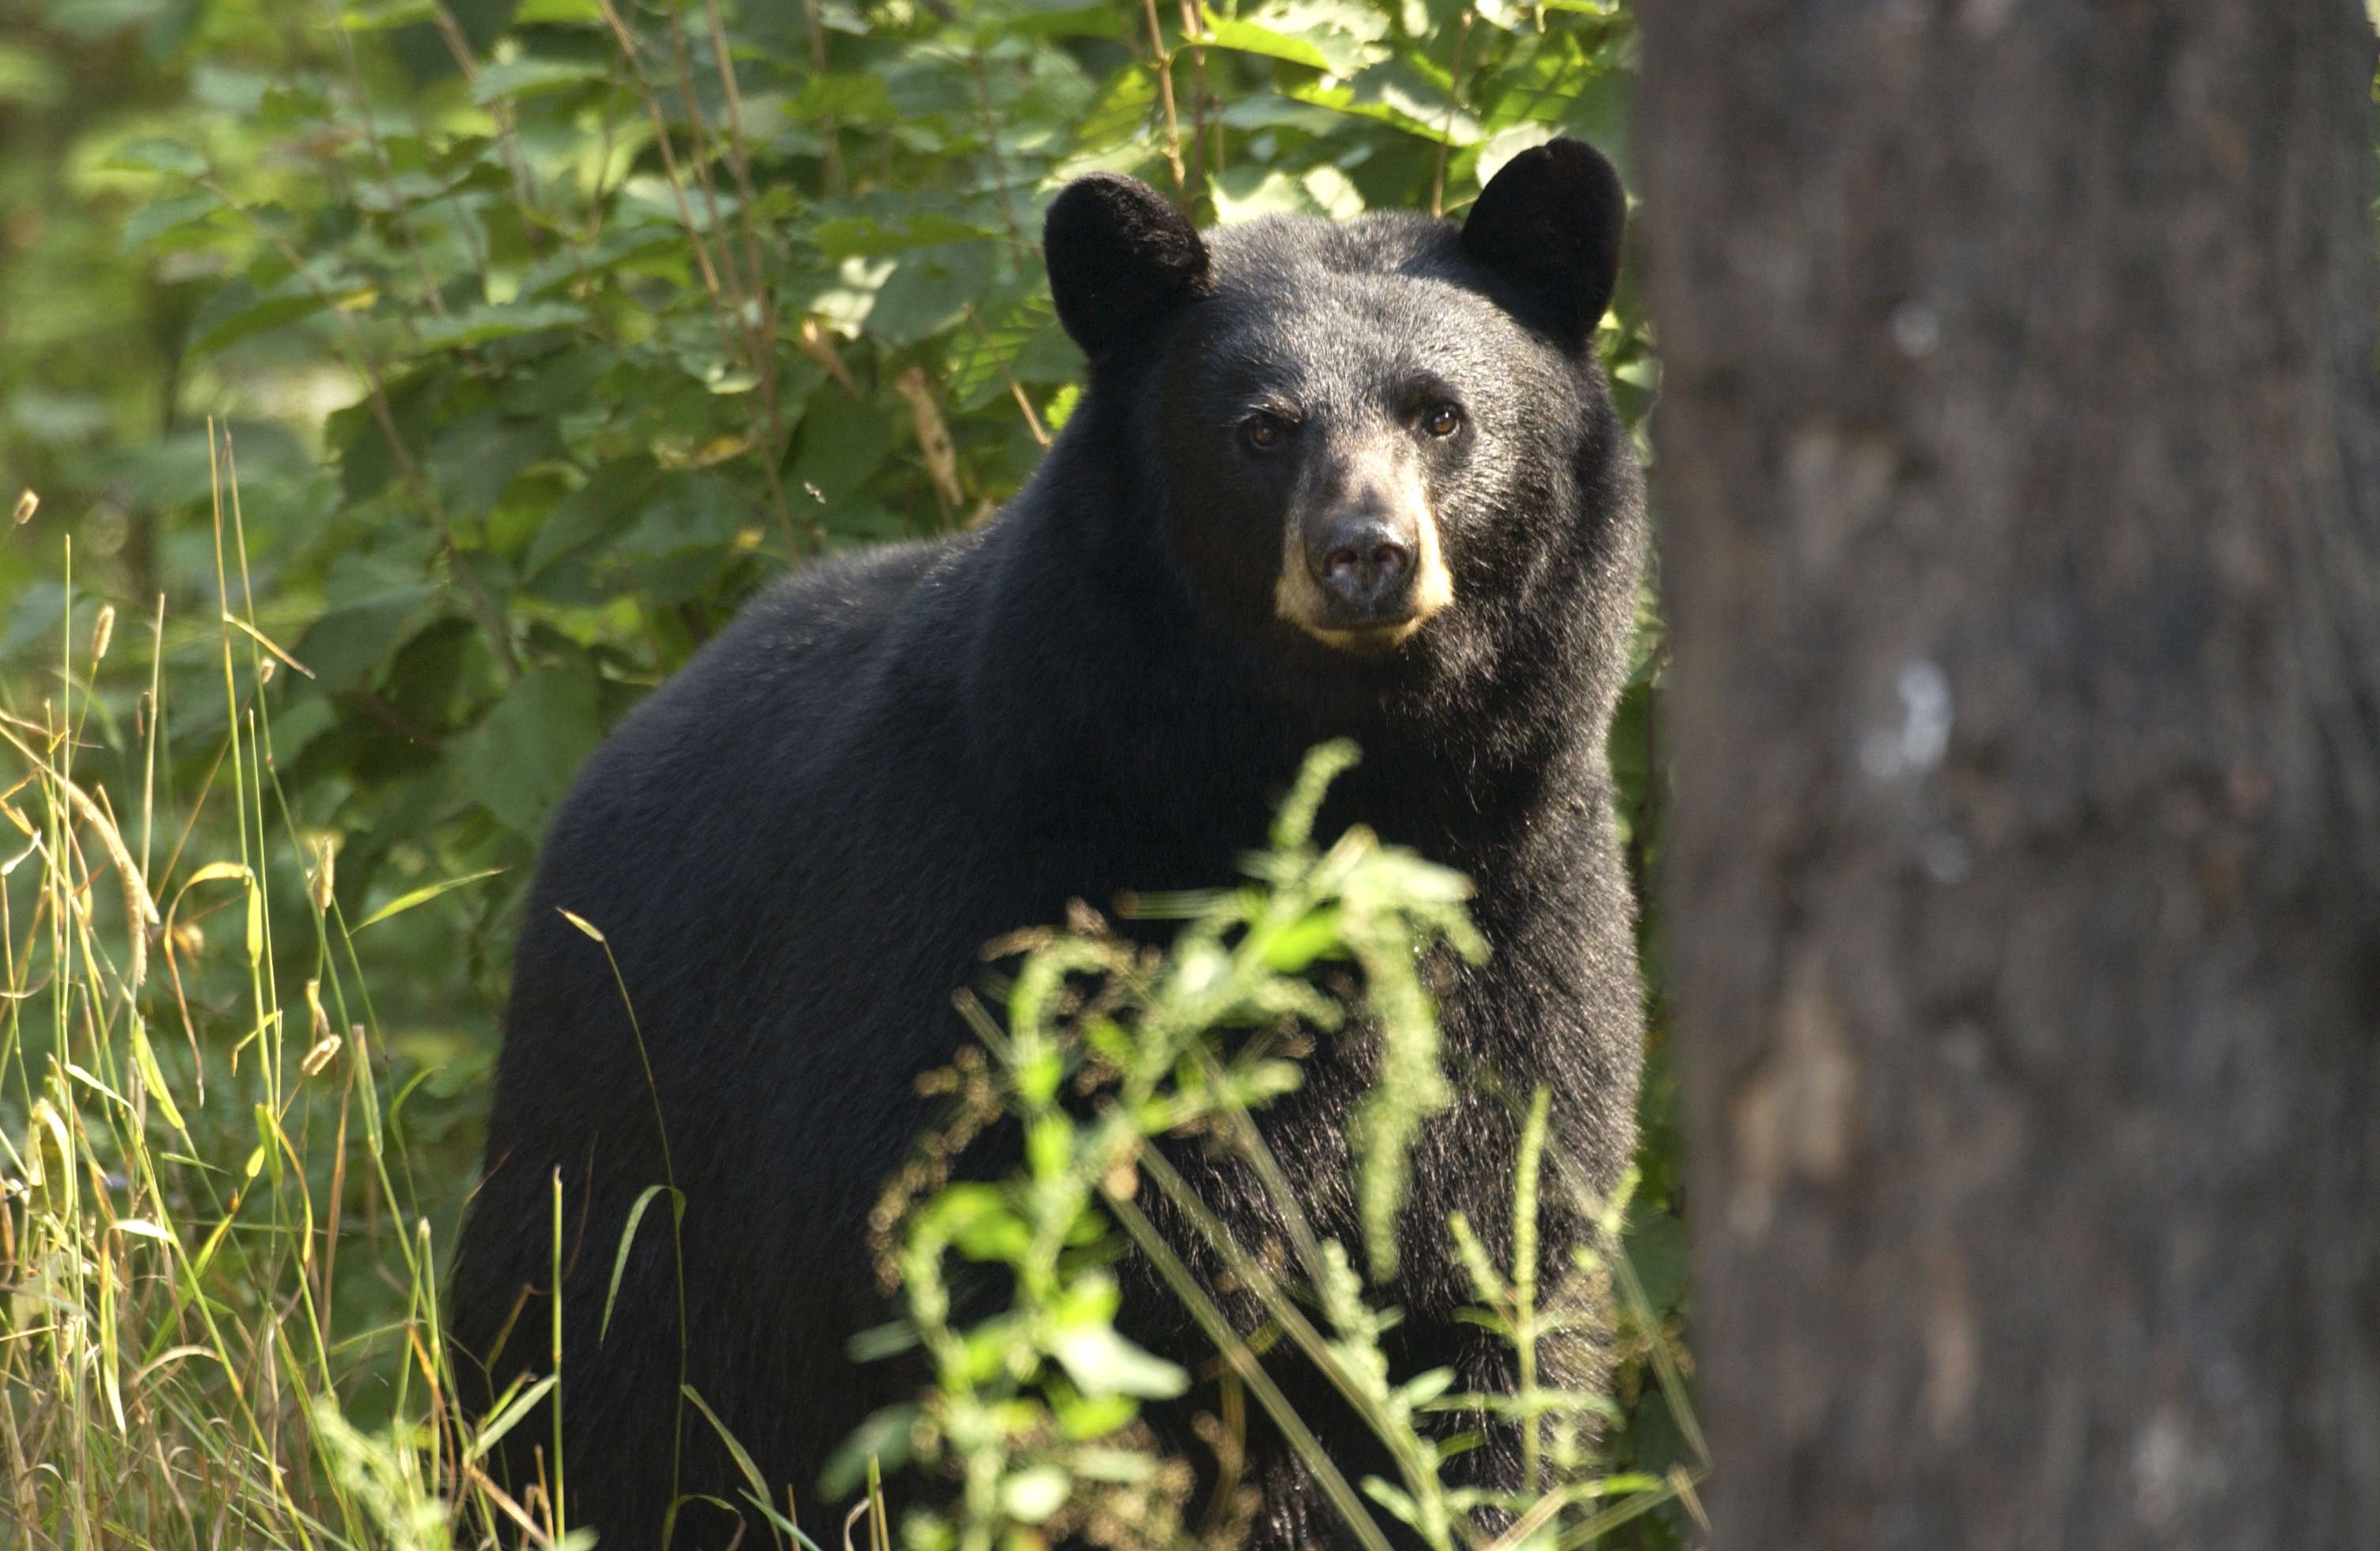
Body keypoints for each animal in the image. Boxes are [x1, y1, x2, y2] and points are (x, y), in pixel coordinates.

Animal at [442, 142, 1637, 1551]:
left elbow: (1489, 1304)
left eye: (1441, 415)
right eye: (1263, 428)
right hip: (623, 1159)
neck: (1332, 789)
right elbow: (1005, 1300)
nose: (1365, 558)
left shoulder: (1525, 932)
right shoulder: (984, 922)